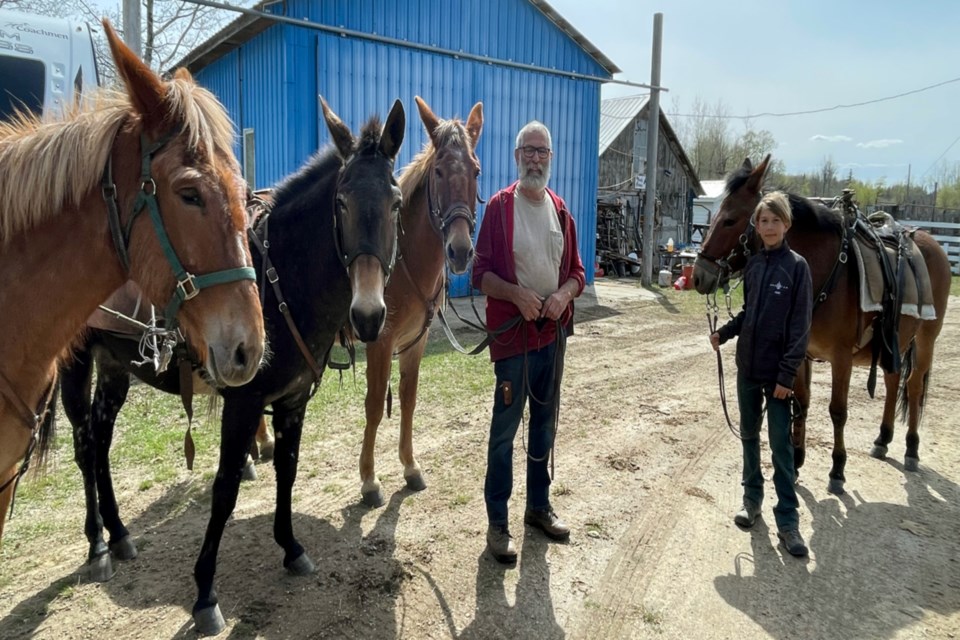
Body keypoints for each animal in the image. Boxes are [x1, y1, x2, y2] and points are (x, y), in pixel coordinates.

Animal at [0, 20, 264, 540]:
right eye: (189, 194)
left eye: (245, 194)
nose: (250, 347)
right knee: (86, 443)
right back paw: (100, 539)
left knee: (100, 439)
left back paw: (118, 533)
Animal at [358, 96, 484, 504]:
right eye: (439, 172)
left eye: (476, 171)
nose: (459, 251)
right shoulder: (380, 342)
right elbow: (374, 405)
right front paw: (369, 480)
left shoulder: (416, 341)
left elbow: (409, 399)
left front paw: (410, 467)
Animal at [692, 156, 948, 496]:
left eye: (730, 220)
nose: (697, 276)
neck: (822, 269)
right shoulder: (800, 353)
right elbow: (801, 402)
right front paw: (796, 461)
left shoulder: (841, 358)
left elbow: (837, 412)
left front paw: (837, 470)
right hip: (894, 343)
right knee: (893, 381)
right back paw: (883, 439)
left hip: (926, 339)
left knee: (914, 386)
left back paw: (911, 448)